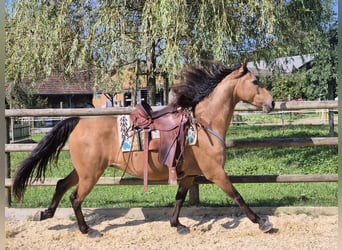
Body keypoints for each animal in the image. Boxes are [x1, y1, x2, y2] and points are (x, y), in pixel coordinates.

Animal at [12, 59, 276, 237]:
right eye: (255, 81)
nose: (272, 102)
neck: (204, 124)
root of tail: (79, 121)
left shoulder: (189, 175)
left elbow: (179, 198)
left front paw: (177, 225)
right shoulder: (215, 172)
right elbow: (237, 196)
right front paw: (263, 222)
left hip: (83, 170)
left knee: (60, 185)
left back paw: (45, 213)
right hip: (91, 174)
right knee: (75, 197)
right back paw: (87, 230)